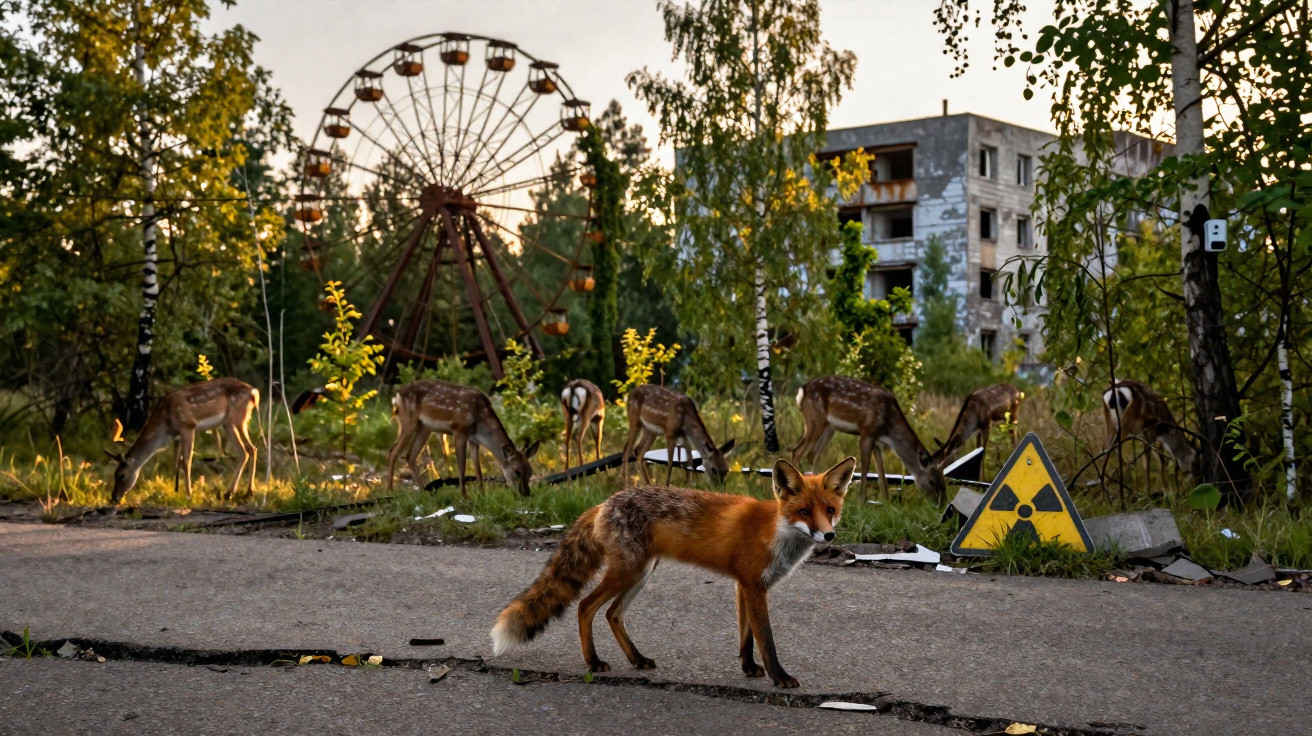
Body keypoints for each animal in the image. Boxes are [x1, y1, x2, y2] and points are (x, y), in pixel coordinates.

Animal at [490, 456, 856, 689]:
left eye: (830, 510)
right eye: (804, 511)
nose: (828, 536)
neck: (777, 532)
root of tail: (604, 503)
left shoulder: (744, 586)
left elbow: (747, 636)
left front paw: (749, 667)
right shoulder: (754, 586)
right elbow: (766, 638)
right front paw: (779, 677)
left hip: (641, 573)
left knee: (612, 614)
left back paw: (637, 659)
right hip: (627, 571)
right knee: (585, 607)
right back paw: (593, 663)